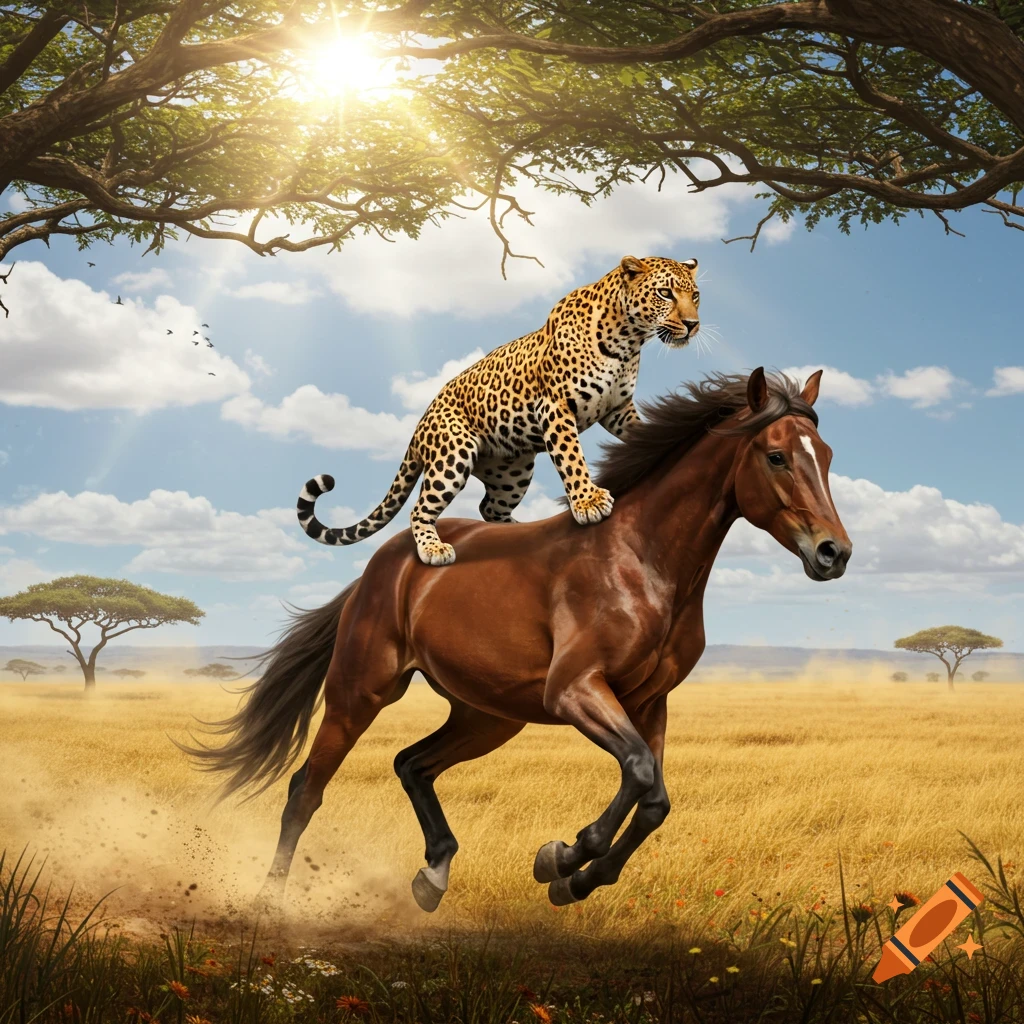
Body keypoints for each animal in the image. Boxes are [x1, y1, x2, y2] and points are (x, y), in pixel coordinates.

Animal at [179, 368, 852, 912]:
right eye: (776, 456)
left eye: (826, 454)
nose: (834, 553)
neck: (643, 562)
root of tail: (386, 563)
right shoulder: (576, 691)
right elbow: (638, 773)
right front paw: (562, 858)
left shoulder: (649, 702)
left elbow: (655, 800)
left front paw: (576, 879)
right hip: (361, 692)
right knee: (305, 791)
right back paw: (270, 902)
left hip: (488, 716)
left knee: (411, 763)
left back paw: (432, 878)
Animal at [297, 254, 701, 566]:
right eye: (665, 293)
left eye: (695, 295)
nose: (693, 324)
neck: (628, 340)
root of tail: (419, 427)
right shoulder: (556, 407)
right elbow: (572, 457)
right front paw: (588, 502)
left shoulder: (617, 409)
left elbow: (638, 432)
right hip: (453, 454)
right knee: (420, 509)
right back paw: (435, 549)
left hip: (513, 473)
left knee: (489, 509)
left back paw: (519, 534)